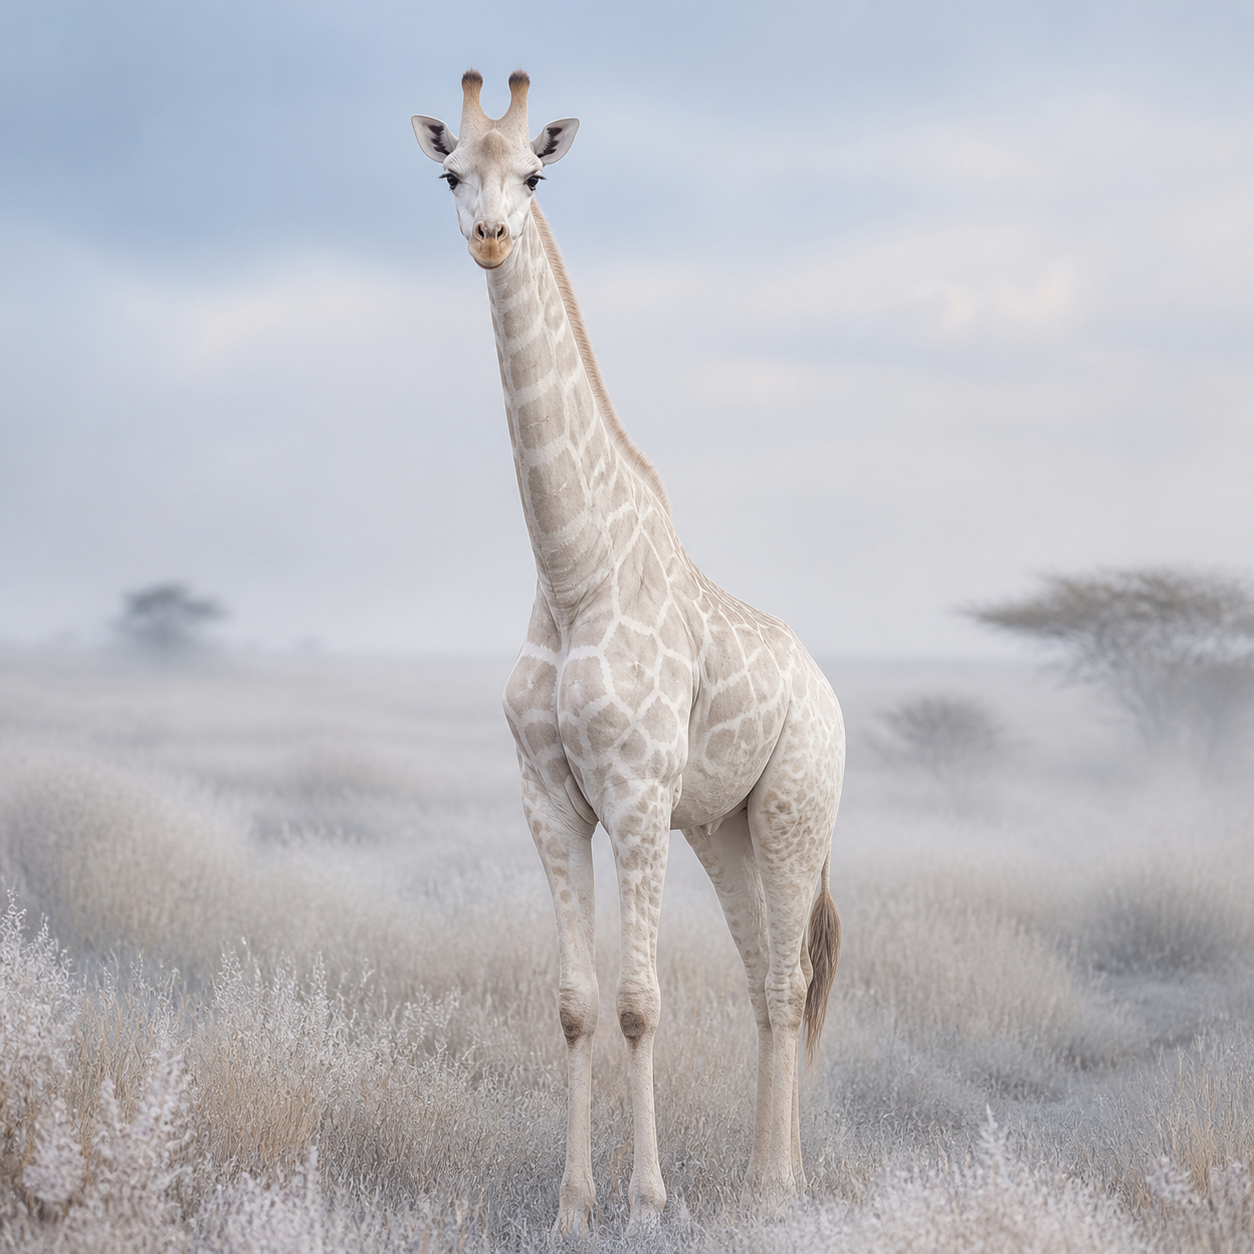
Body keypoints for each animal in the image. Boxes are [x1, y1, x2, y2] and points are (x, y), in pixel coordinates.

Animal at [412, 70, 845, 1234]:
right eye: (451, 173)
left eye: (535, 173)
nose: (492, 236)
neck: (574, 576)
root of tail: (828, 692)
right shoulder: (551, 800)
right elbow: (573, 1004)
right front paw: (573, 1205)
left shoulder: (639, 795)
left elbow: (641, 1003)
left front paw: (649, 1202)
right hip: (723, 829)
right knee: (764, 982)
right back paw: (760, 1180)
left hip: (793, 810)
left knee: (789, 981)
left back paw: (782, 1189)